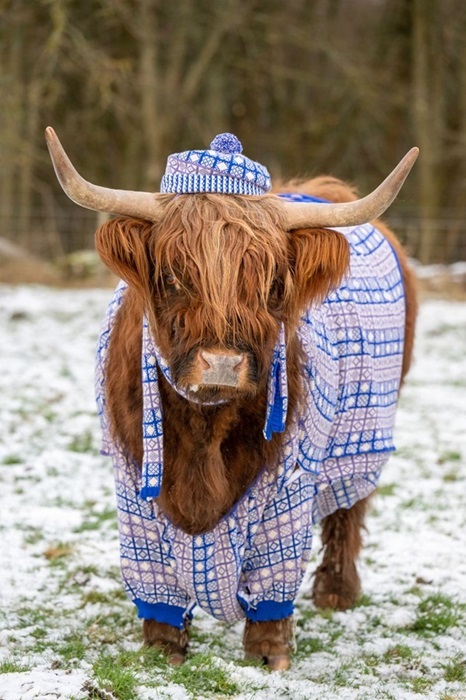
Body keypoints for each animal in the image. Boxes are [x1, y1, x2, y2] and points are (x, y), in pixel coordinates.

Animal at [46, 129, 418, 668]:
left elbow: (274, 576)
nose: (222, 363)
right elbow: (154, 581)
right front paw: (162, 650)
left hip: (366, 431)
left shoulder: (289, 486)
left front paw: (268, 655)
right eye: (173, 276)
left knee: (351, 506)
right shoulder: (133, 487)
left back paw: (336, 591)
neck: (202, 430)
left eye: (272, 283)